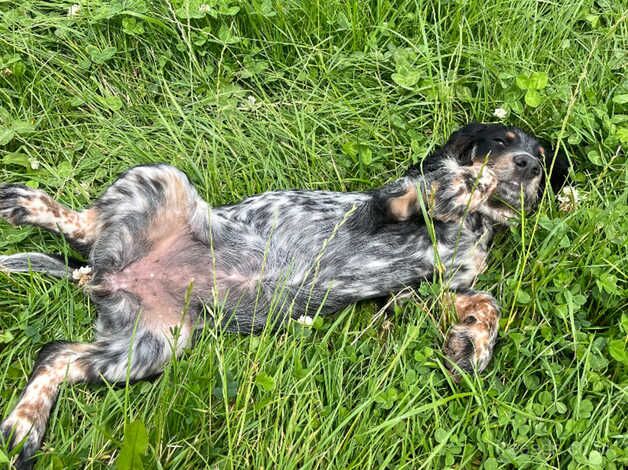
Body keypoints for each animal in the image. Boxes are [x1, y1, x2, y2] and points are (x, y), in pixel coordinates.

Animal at [0, 123, 568, 468]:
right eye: (499, 140)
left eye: (542, 156)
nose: (526, 164)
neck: (475, 226)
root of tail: (102, 276)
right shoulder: (382, 210)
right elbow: (418, 193)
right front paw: (459, 184)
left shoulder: (417, 293)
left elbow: (486, 301)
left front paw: (472, 343)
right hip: (160, 181)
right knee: (83, 228)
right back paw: (26, 205)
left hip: (151, 345)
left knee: (56, 354)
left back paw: (23, 428)